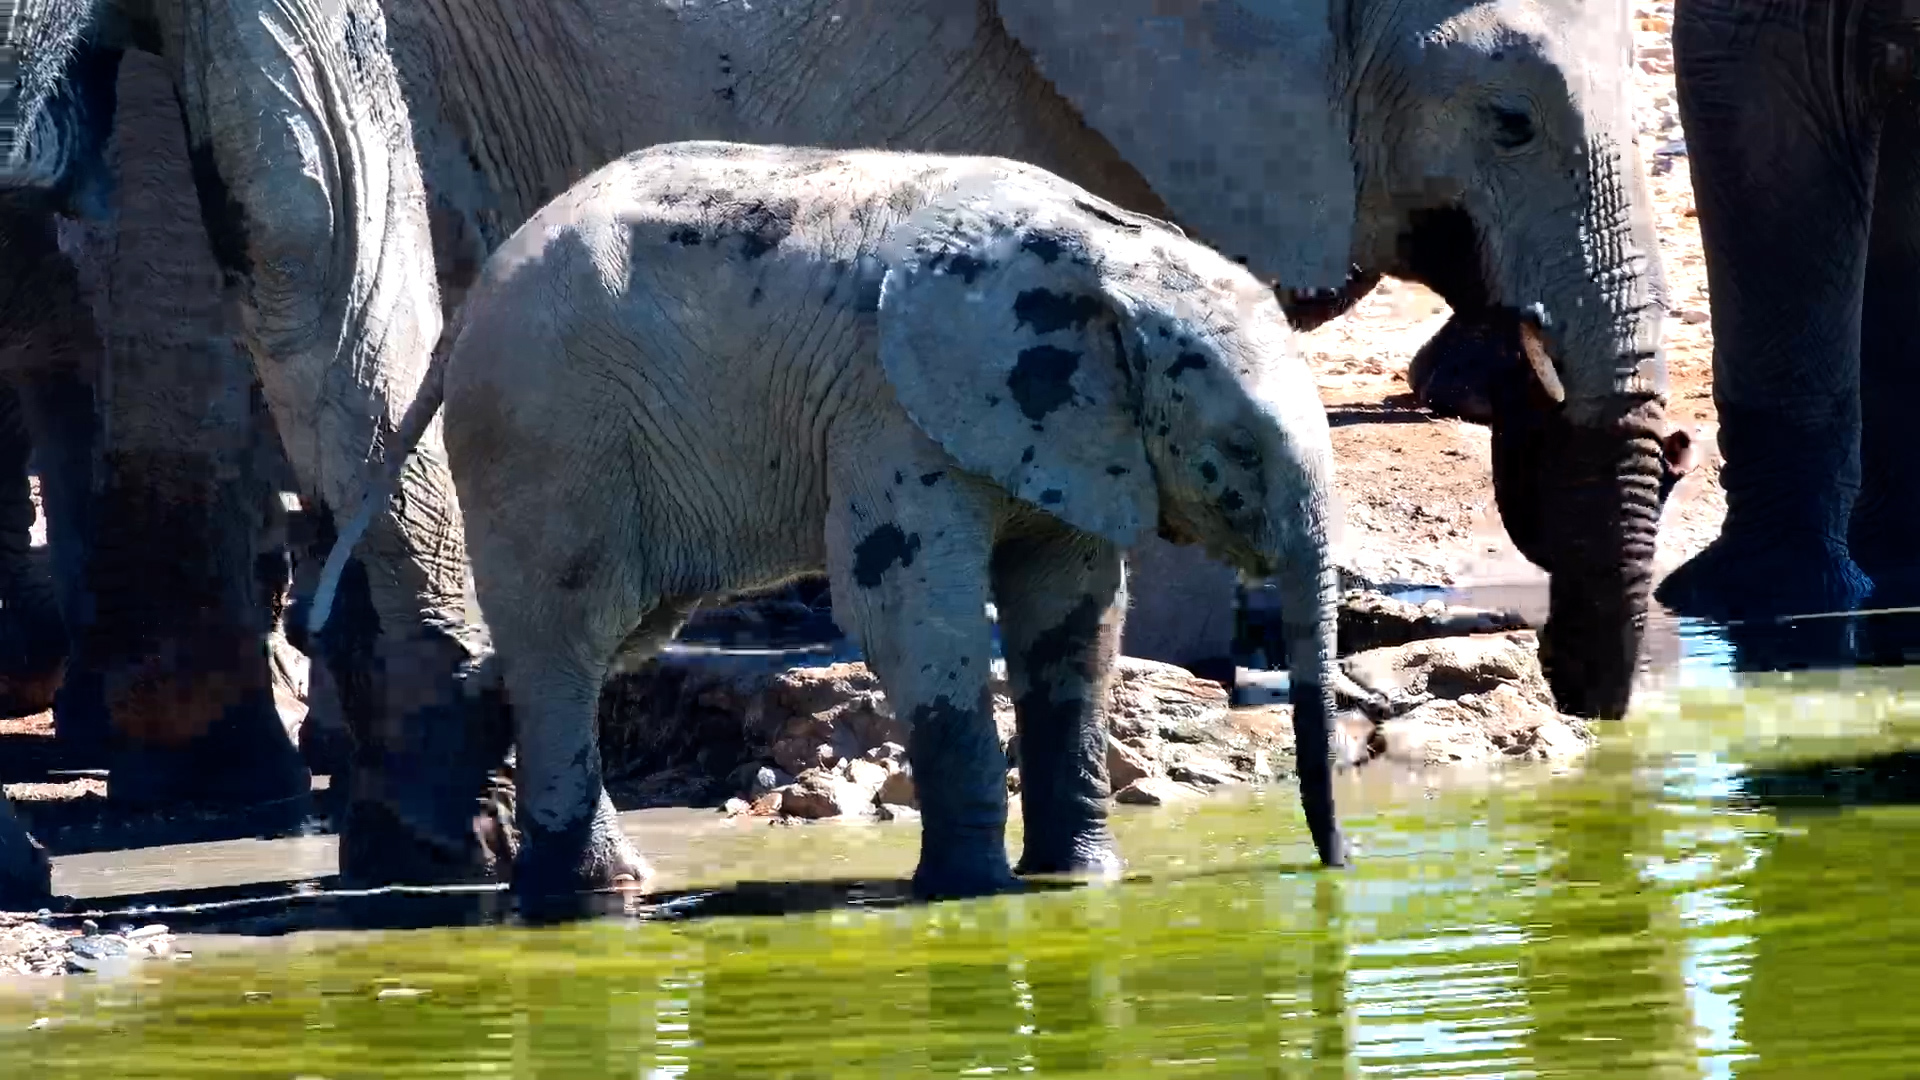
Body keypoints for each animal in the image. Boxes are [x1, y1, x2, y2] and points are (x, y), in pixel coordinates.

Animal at [311, 143, 1350, 897]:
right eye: (1242, 450)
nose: (1338, 870)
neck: (1114, 259)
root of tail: (474, 295)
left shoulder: (1076, 437)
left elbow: (1073, 622)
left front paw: (1082, 884)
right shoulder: (889, 411)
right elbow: (911, 612)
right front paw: (973, 896)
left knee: (609, 636)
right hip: (549, 425)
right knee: (574, 633)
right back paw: (592, 895)